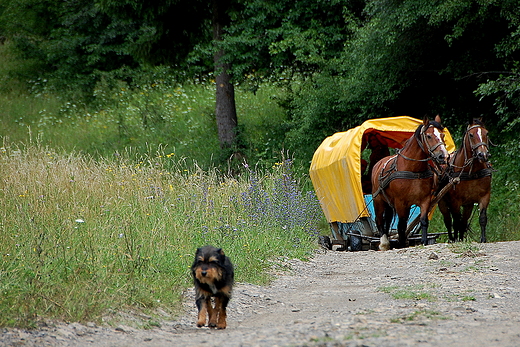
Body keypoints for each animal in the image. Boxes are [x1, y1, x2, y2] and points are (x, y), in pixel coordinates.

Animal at [372, 117, 448, 250]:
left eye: (442, 135)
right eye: (429, 136)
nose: (443, 156)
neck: (413, 170)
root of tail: (378, 163)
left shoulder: (425, 200)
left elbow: (423, 220)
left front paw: (423, 241)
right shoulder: (400, 202)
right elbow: (401, 224)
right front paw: (402, 243)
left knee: (387, 219)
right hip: (378, 200)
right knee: (380, 220)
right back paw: (384, 243)